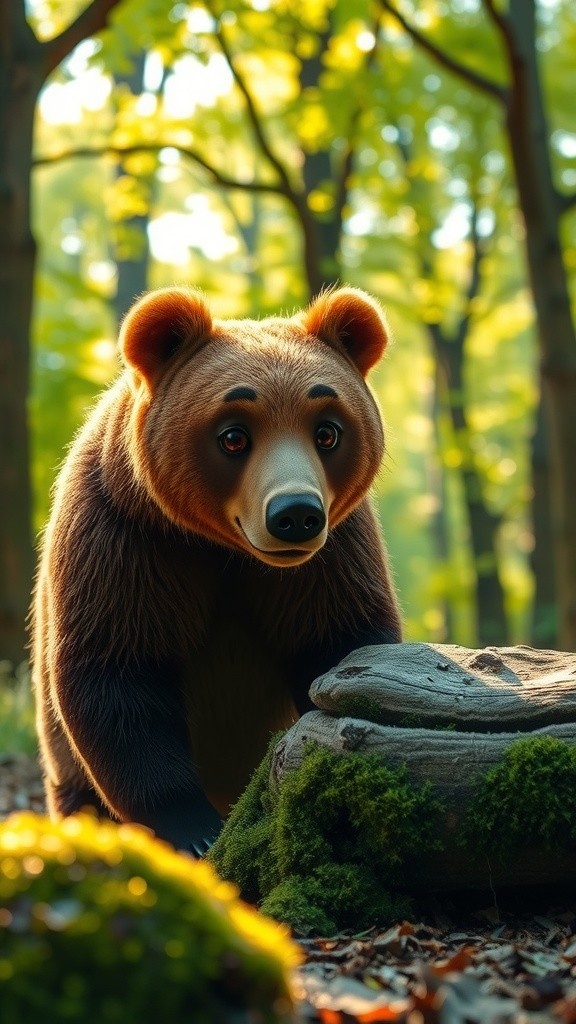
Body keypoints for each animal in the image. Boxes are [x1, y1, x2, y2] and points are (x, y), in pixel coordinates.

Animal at [32, 286, 402, 856]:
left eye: (327, 431)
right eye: (234, 436)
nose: (295, 514)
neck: (224, 551)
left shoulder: (332, 557)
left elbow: (341, 640)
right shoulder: (126, 537)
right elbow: (118, 673)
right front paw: (195, 829)